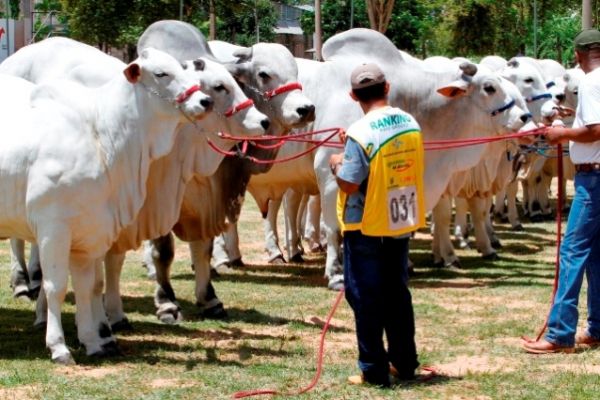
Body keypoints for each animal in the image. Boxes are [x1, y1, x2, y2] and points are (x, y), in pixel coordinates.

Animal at [0, 47, 211, 362]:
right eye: (161, 73)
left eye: (182, 67)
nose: (205, 101)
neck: (101, 136)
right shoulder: (53, 228)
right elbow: (55, 287)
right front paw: (58, 346)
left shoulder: (89, 233)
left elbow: (88, 287)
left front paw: (93, 341)